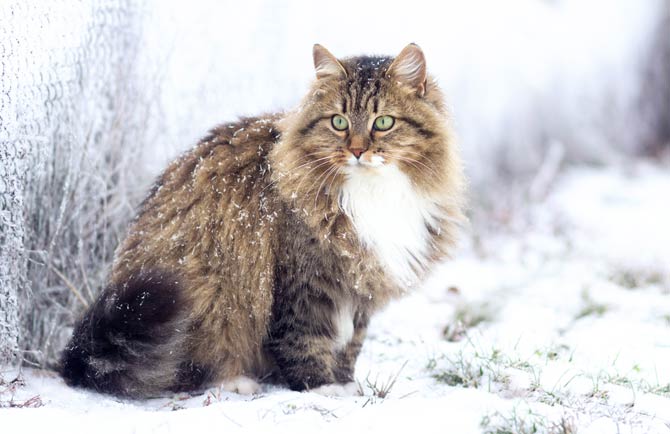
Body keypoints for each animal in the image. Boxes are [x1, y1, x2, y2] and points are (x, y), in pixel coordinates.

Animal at [59, 43, 468, 396]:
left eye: (383, 122)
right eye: (338, 122)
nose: (356, 150)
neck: (373, 192)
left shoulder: (360, 283)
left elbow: (351, 343)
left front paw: (346, 384)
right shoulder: (304, 280)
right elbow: (305, 341)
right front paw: (322, 388)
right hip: (204, 291)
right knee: (186, 371)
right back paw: (237, 382)